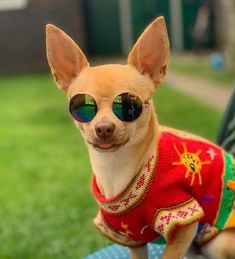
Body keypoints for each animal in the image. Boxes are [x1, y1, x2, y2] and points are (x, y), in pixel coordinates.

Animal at [46, 17, 235, 258]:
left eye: (129, 106)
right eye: (82, 106)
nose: (104, 128)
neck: (115, 170)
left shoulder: (184, 220)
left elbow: (169, 254)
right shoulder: (132, 238)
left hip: (218, 242)